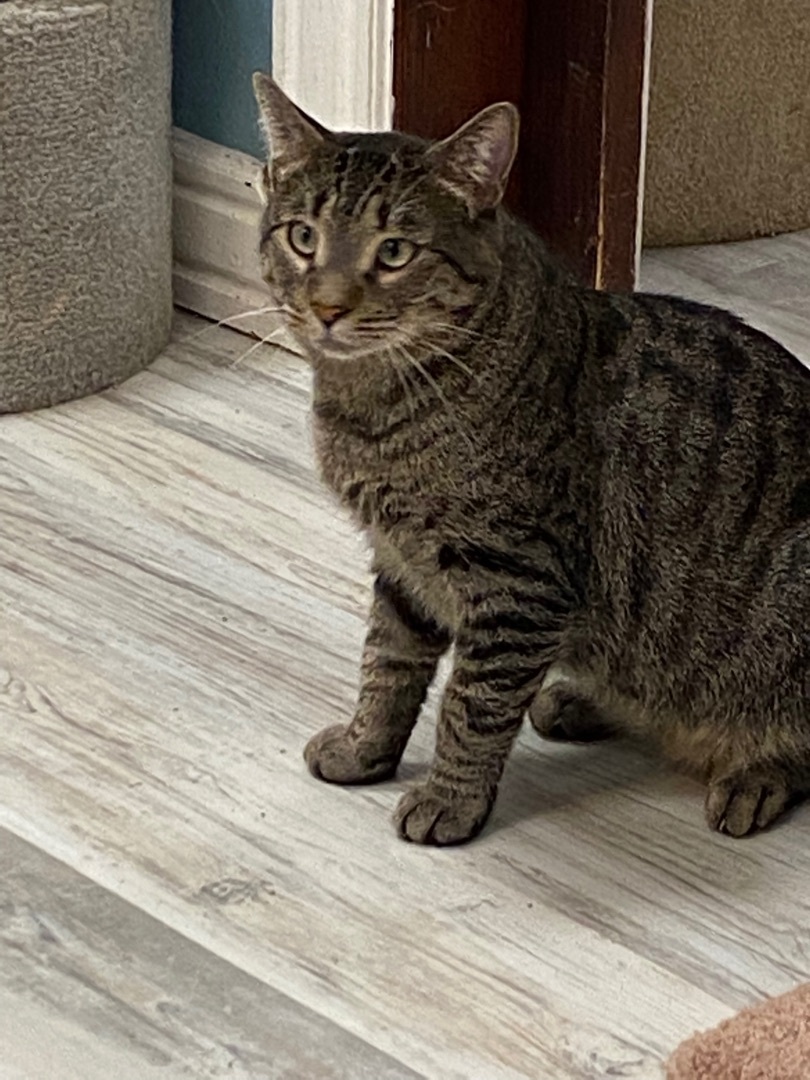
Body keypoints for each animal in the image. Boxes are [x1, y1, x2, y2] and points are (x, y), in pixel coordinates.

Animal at [253, 73, 810, 842]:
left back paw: (754, 775)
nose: (329, 307)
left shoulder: (518, 584)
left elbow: (470, 707)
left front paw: (450, 800)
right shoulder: (401, 563)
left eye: (394, 252)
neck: (374, 410)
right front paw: (366, 748)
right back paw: (583, 701)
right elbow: (386, 666)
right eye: (304, 237)